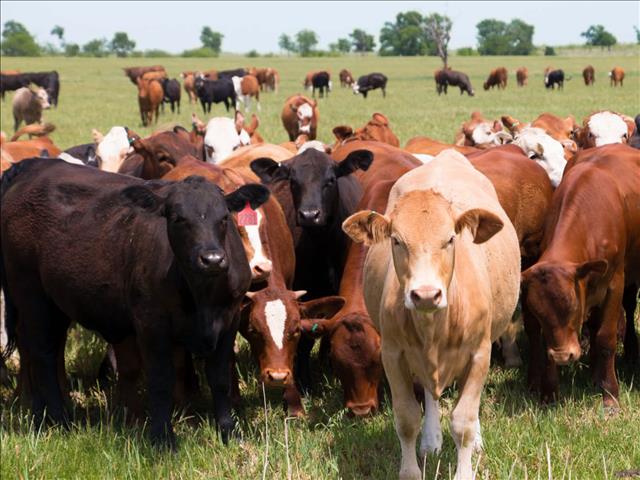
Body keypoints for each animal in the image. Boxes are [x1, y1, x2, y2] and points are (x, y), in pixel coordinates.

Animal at [0, 157, 271, 448]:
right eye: (178, 218)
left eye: (224, 218)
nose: (212, 259)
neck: (202, 297)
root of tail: (35, 166)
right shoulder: (151, 322)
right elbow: (161, 380)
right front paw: (163, 439)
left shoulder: (229, 319)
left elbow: (220, 379)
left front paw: (229, 432)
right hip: (30, 293)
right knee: (42, 353)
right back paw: (59, 420)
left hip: (56, 301)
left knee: (39, 349)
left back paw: (40, 415)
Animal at [342, 150, 520, 480]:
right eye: (396, 240)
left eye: (450, 239)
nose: (425, 294)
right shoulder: (392, 354)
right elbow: (406, 419)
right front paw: (412, 467)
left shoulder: (480, 353)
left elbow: (463, 421)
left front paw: (465, 468)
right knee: (429, 393)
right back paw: (431, 439)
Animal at [520, 144, 640, 406]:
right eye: (538, 313)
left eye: (572, 307)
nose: (563, 356)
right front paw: (550, 393)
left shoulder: (615, 283)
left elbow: (606, 337)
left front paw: (610, 395)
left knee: (627, 307)